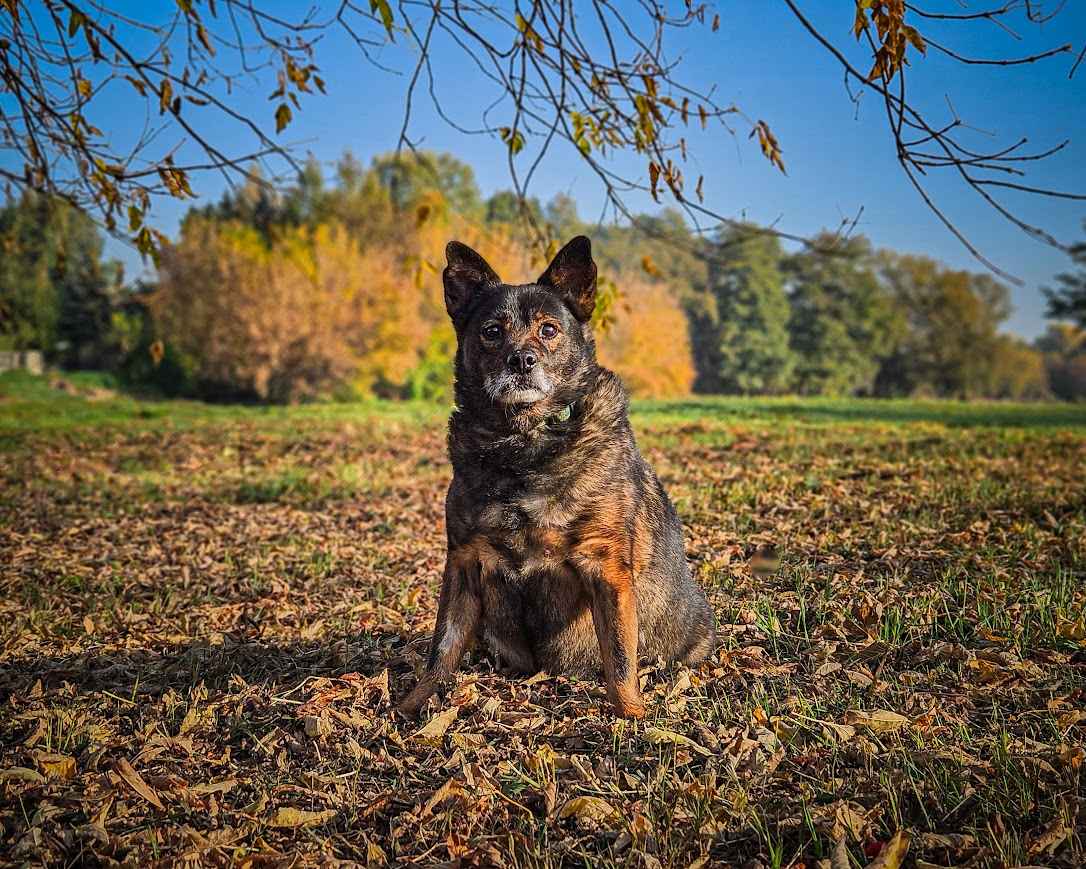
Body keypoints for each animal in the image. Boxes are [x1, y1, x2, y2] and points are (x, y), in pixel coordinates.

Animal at [395, 234, 716, 716]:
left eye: (548, 330)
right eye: (491, 331)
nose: (521, 361)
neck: (524, 446)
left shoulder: (605, 568)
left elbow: (619, 658)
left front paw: (632, 718)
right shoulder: (464, 563)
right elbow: (441, 649)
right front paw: (410, 707)